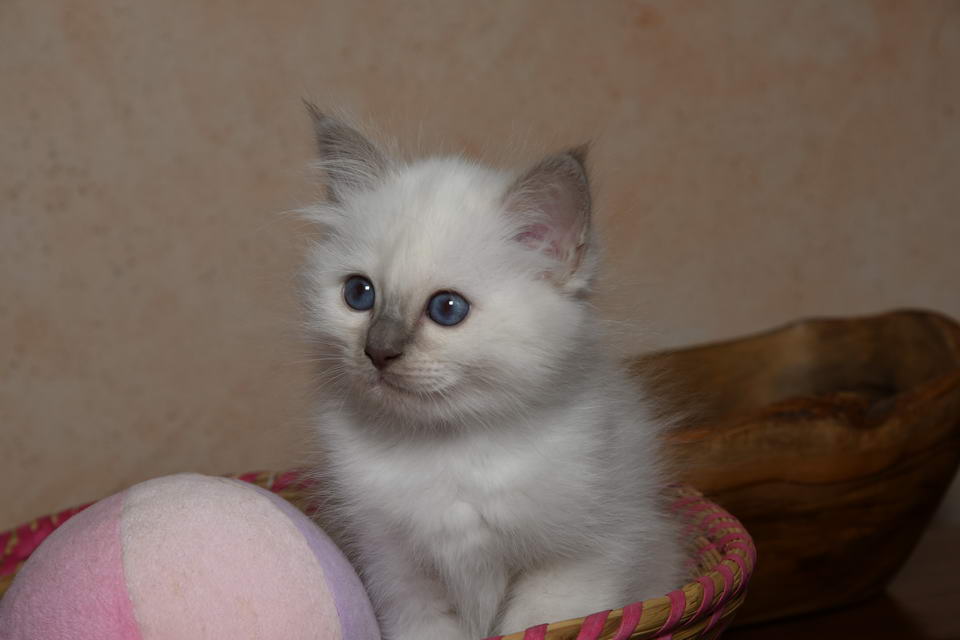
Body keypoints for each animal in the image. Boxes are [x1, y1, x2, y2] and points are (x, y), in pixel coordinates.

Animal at [300, 105, 684, 640]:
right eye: (359, 294)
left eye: (447, 309)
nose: (377, 351)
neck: (447, 448)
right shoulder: (400, 578)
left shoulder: (576, 562)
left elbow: (539, 623)